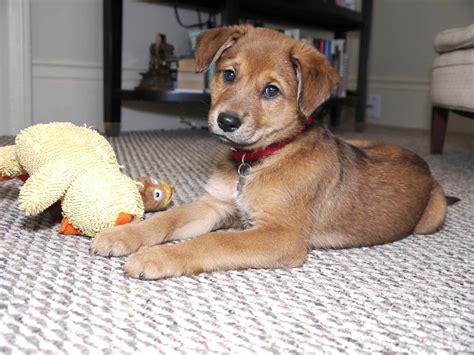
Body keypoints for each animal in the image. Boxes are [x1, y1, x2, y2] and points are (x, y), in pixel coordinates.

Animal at [91, 26, 448, 280]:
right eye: (229, 74)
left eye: (271, 90)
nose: (227, 121)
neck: (258, 160)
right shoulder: (216, 206)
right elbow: (166, 219)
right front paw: (122, 235)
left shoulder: (281, 235)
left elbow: (214, 242)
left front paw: (156, 257)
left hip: (433, 215)